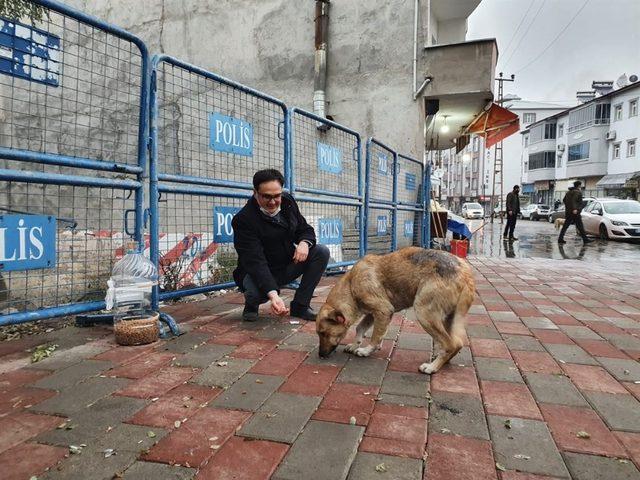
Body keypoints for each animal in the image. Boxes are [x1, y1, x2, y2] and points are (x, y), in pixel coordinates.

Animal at [316, 248, 476, 376]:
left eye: (324, 333)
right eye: (319, 334)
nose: (320, 355)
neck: (351, 285)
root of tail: (466, 274)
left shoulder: (383, 310)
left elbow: (374, 336)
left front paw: (366, 350)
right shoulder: (373, 314)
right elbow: (361, 328)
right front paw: (356, 344)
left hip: (424, 313)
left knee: (451, 344)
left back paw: (432, 367)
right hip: (446, 319)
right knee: (456, 343)